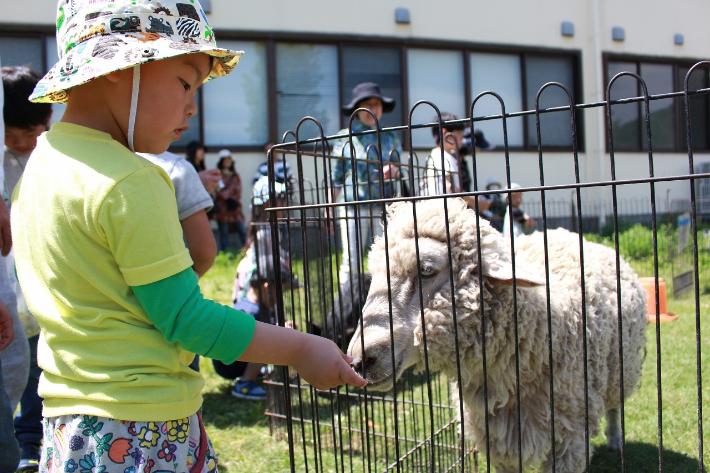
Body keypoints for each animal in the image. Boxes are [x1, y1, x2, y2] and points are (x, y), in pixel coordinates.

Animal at [350, 197, 652, 470]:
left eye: (426, 269)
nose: (358, 360)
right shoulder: (499, 440)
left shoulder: (569, 438)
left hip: (620, 370)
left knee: (615, 407)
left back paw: (615, 439)